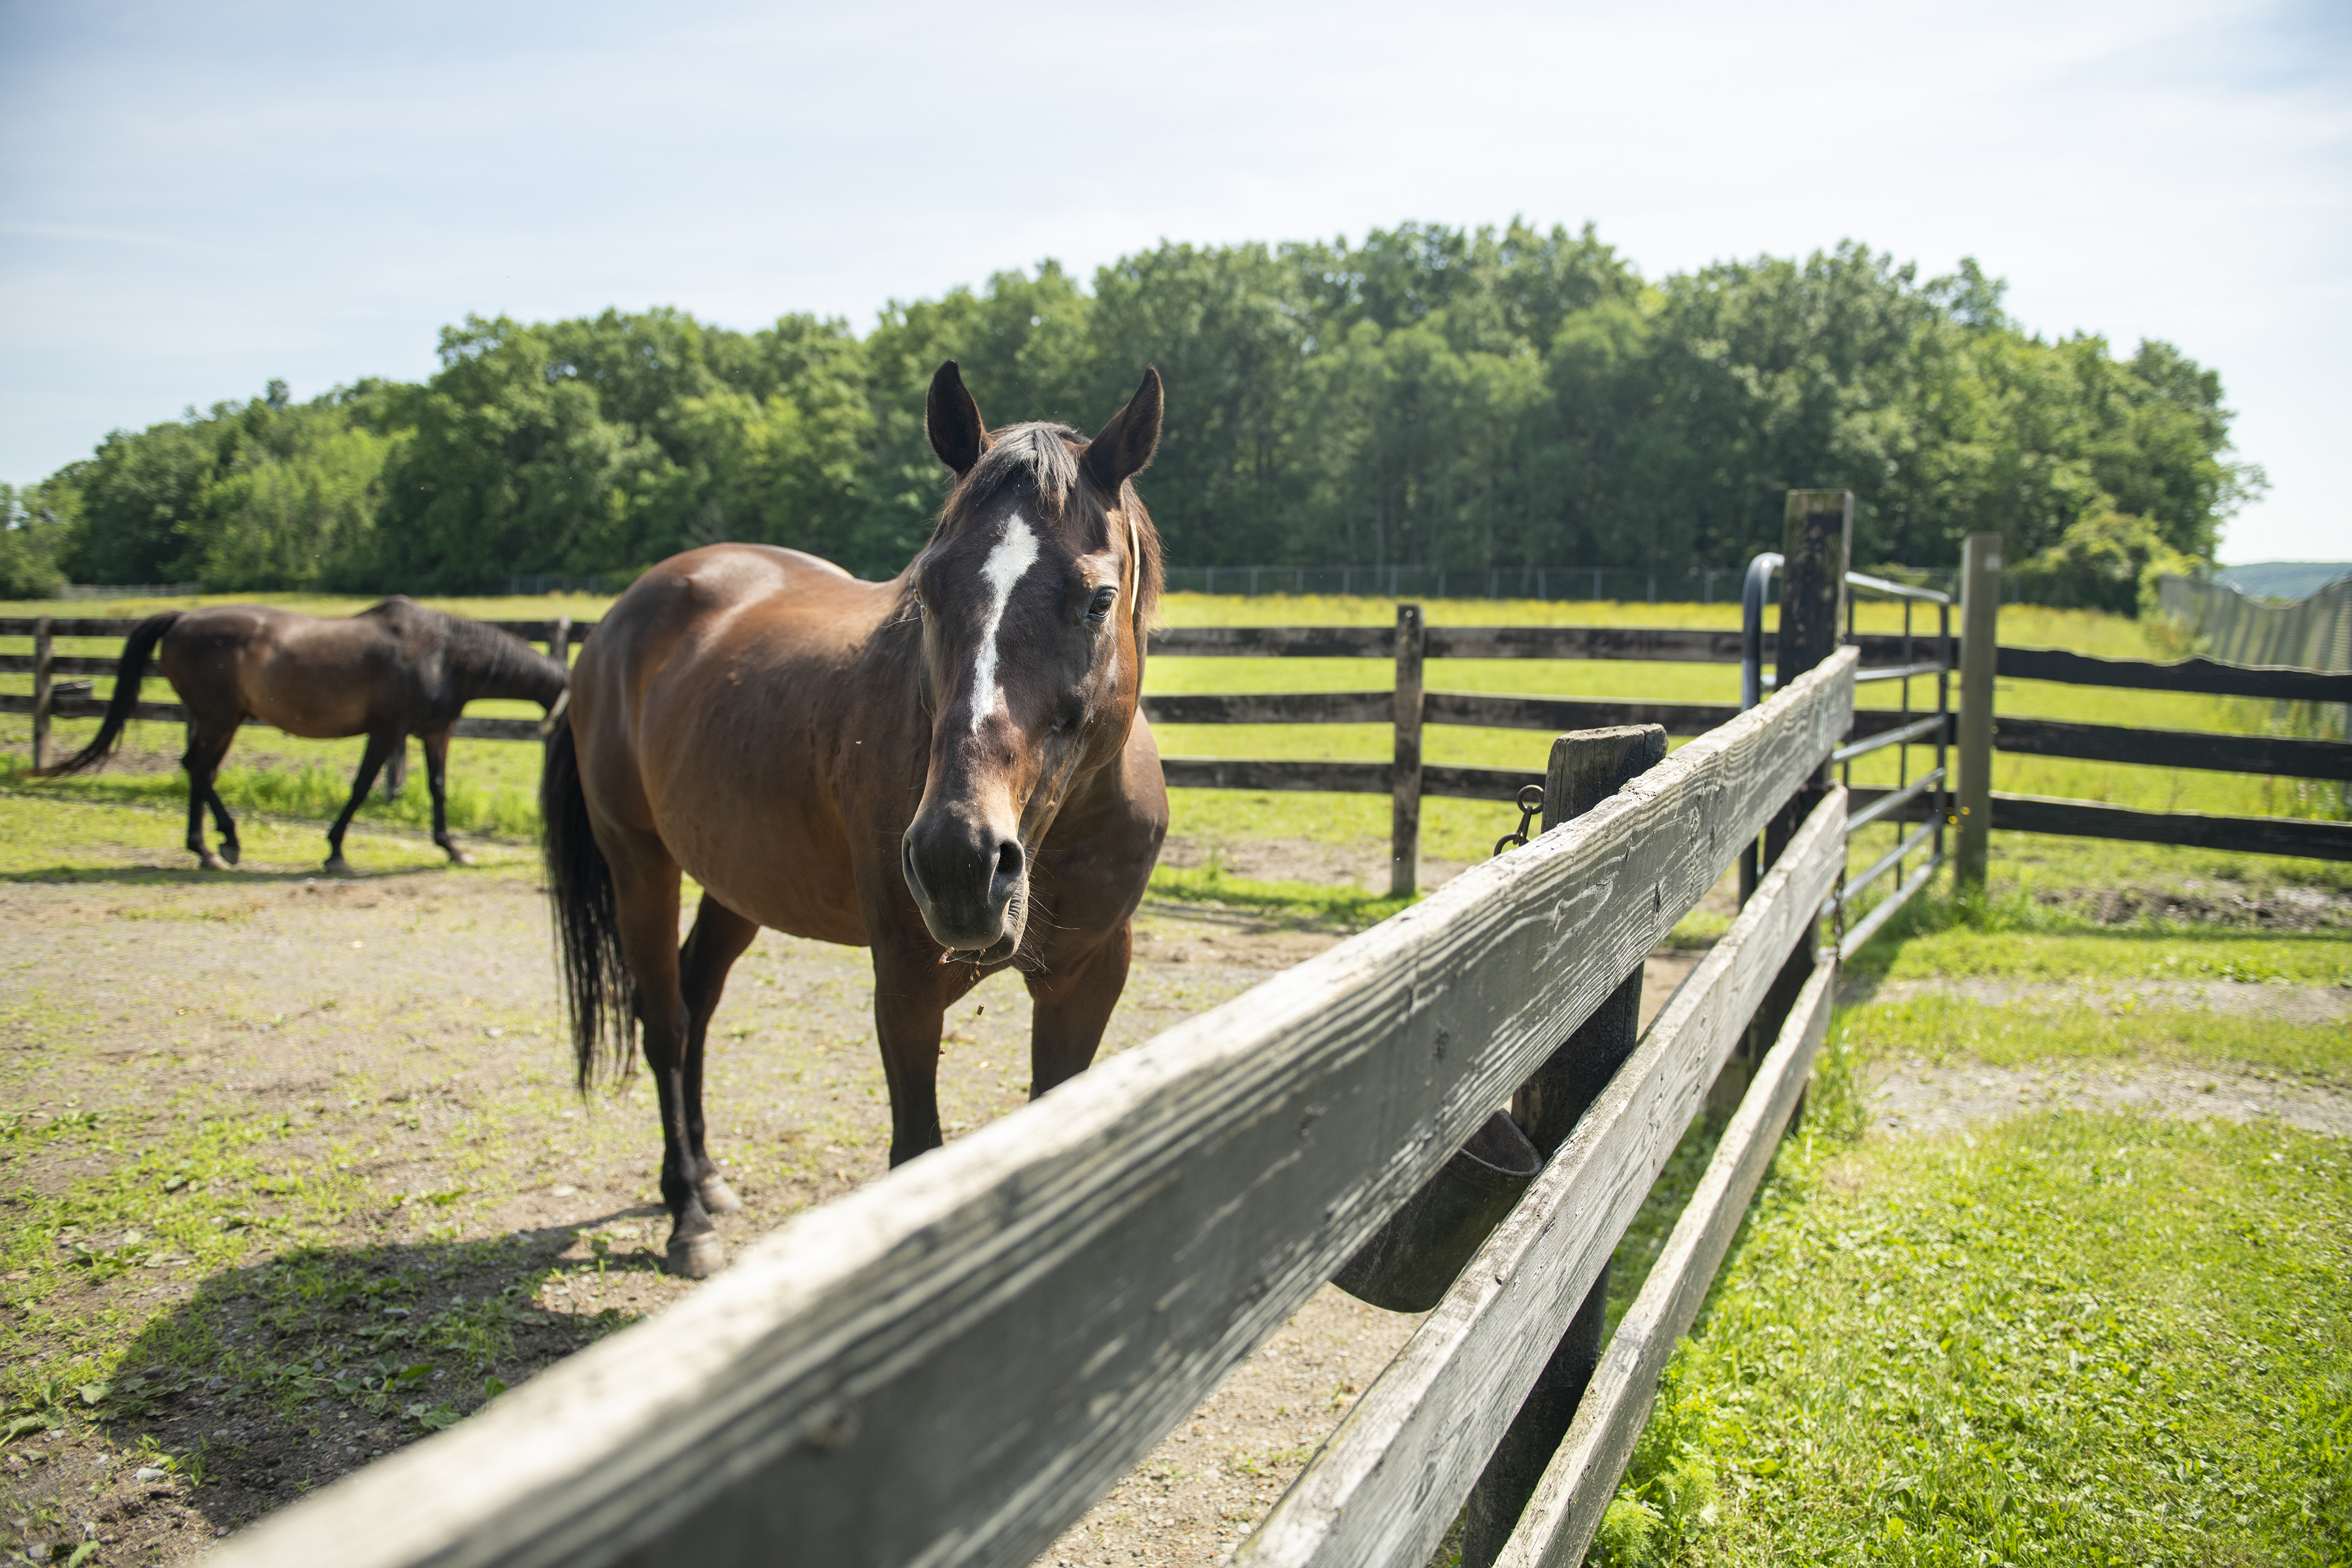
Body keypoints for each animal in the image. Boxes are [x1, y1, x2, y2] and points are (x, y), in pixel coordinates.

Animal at [40, 596, 569, 870]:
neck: (444, 654)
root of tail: (182, 618)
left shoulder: (436, 732)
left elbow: (438, 788)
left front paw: (453, 848)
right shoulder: (387, 731)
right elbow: (360, 788)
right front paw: (335, 851)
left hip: (222, 721)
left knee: (199, 771)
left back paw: (213, 847)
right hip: (218, 718)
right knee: (199, 770)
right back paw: (219, 845)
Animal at [550, 362, 1176, 1279]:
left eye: (1098, 600)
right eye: (928, 588)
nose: (960, 861)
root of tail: (609, 629)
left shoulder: (1088, 977)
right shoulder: (907, 983)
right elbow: (915, 1155)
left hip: (737, 882)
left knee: (696, 999)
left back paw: (709, 1180)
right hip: (640, 865)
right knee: (664, 1020)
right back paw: (687, 1215)